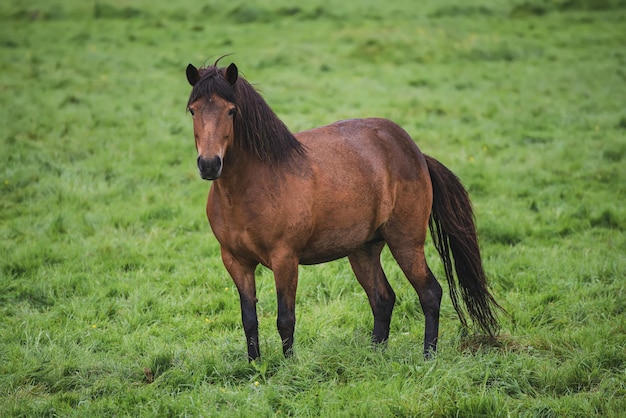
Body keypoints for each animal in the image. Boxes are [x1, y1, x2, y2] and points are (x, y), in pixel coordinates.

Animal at [182, 57, 502, 360]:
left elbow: (285, 319)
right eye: (193, 111)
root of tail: (416, 154)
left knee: (430, 293)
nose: (209, 164)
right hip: (363, 249)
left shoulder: (285, 259)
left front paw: (288, 368)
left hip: (406, 242)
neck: (253, 186)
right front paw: (256, 367)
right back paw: (375, 356)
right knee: (383, 298)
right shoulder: (236, 262)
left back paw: (428, 356)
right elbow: (249, 320)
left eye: (231, 111)